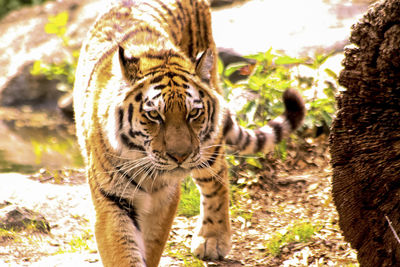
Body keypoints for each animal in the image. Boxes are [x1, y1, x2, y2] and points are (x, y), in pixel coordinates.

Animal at [72, 0, 304, 266]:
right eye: (154, 115)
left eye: (193, 113)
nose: (180, 156)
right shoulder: (110, 197)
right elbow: (122, 251)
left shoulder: (164, 198)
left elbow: (152, 245)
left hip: (208, 147)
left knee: (217, 177)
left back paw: (212, 239)